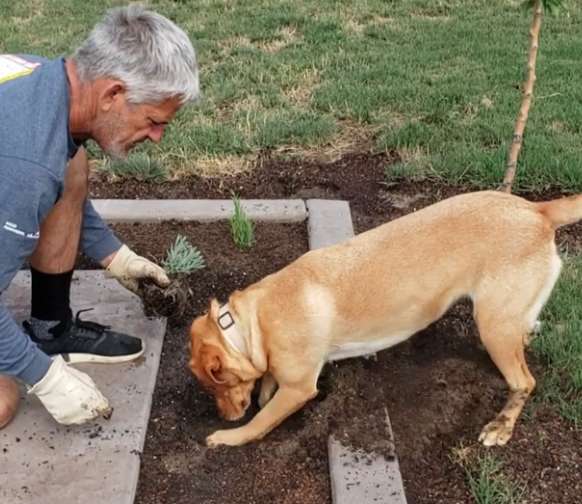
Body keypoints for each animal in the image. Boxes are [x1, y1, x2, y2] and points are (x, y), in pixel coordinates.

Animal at [190, 191, 580, 446]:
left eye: (214, 386)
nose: (225, 418)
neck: (251, 323)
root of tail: (536, 208)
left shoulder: (299, 388)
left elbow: (261, 421)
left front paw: (230, 435)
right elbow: (267, 381)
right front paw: (264, 388)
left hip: (493, 327)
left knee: (524, 382)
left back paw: (501, 426)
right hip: (507, 322)